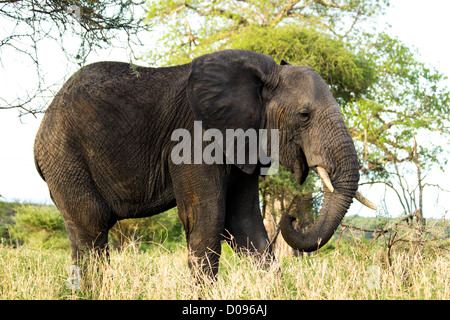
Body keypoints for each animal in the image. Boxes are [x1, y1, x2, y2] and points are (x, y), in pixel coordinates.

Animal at [33, 48, 374, 280]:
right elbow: (207, 217)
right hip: (65, 157)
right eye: (304, 115)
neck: (265, 75)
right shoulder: (193, 138)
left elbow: (244, 221)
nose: (289, 218)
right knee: (91, 226)